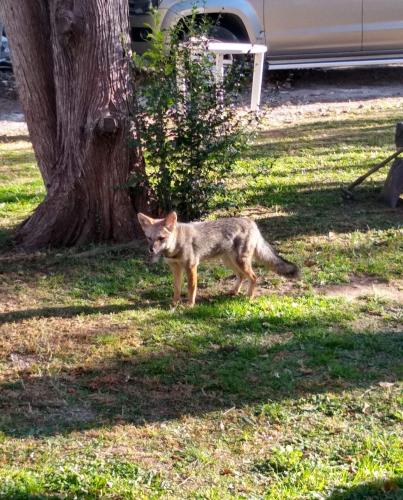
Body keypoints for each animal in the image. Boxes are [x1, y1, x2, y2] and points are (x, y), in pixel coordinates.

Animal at [139, 210, 300, 304]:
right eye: (149, 238)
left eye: (161, 238)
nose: (151, 250)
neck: (176, 246)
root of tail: (250, 221)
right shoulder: (175, 268)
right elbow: (177, 288)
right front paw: (174, 304)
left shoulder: (191, 266)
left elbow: (191, 287)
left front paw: (189, 305)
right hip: (229, 262)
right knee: (241, 276)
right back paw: (234, 291)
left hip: (239, 261)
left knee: (254, 277)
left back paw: (249, 297)